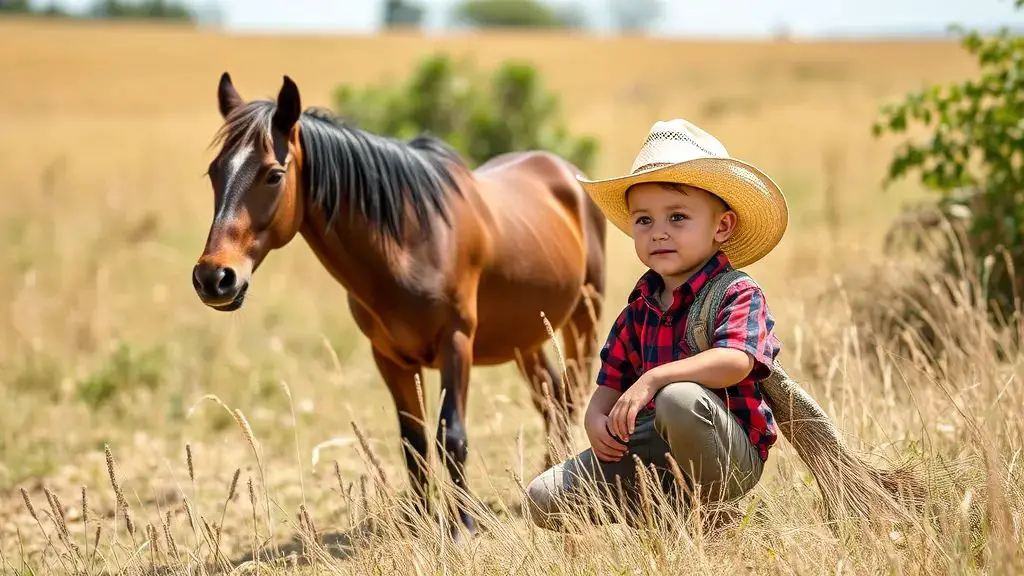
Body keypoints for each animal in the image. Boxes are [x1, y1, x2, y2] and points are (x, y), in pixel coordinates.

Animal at [192, 72, 606, 537]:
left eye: (273, 174)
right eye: (215, 171)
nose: (214, 278)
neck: (410, 244)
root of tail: (566, 174)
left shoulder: (456, 343)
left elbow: (451, 434)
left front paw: (463, 525)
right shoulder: (390, 357)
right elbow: (414, 441)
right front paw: (425, 522)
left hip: (583, 319)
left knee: (572, 396)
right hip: (524, 339)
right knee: (552, 399)